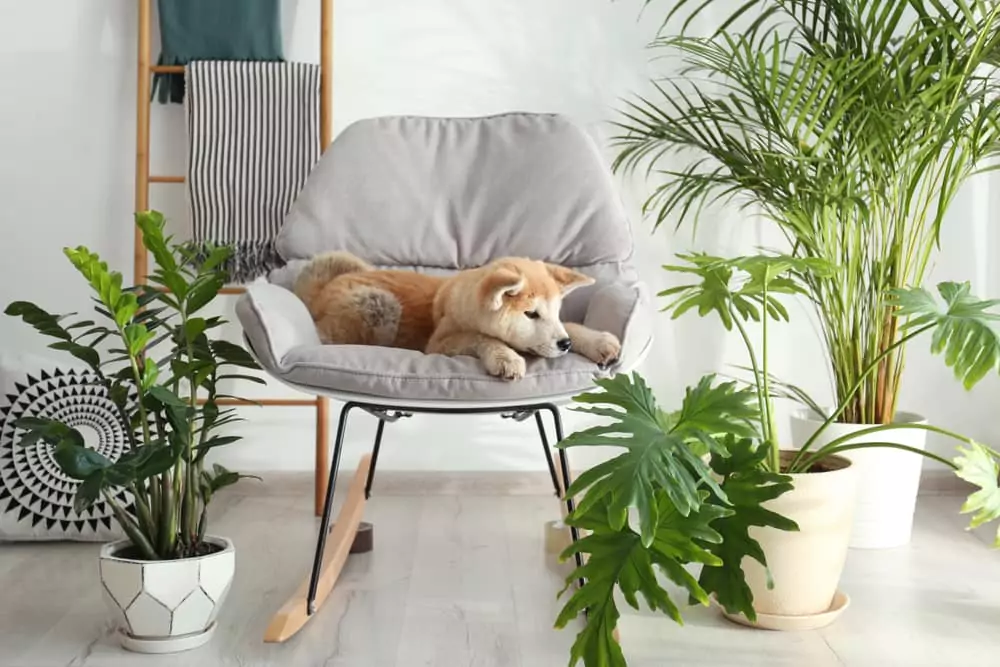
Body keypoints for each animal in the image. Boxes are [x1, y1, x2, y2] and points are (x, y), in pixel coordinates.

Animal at [292, 253, 616, 380]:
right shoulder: (439, 344)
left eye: (555, 312)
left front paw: (598, 341)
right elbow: (481, 337)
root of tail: (321, 291)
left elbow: (572, 325)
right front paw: (505, 357)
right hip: (380, 304)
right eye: (530, 314)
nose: (565, 345)